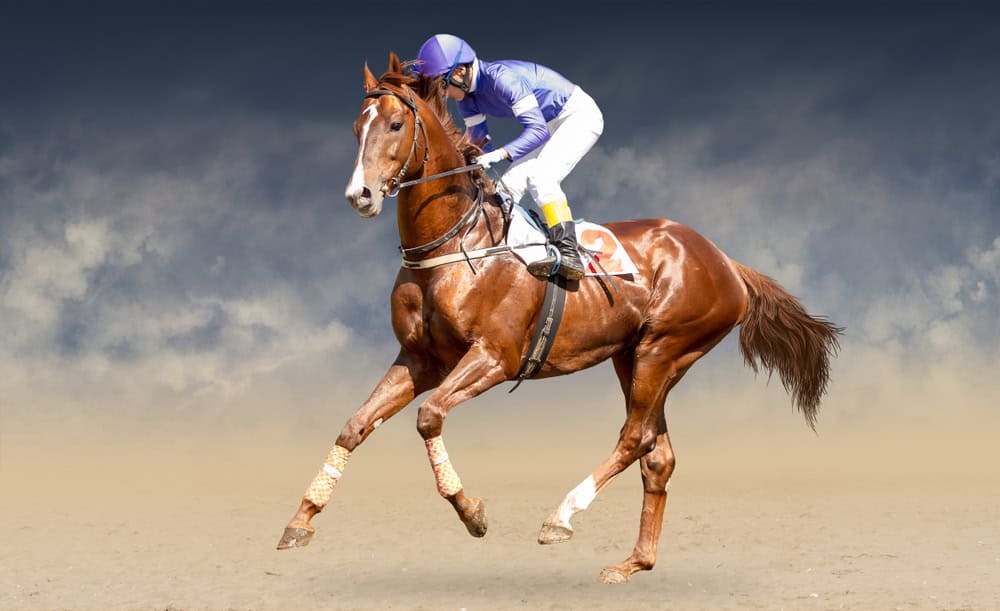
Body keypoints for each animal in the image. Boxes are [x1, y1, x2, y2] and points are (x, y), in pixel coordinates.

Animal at [277, 53, 843, 584]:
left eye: (395, 125)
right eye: (357, 127)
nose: (360, 195)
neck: (455, 244)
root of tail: (725, 261)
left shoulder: (494, 357)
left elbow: (429, 417)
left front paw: (472, 512)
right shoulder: (419, 360)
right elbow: (354, 426)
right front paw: (301, 520)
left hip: (666, 348)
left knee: (634, 438)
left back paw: (562, 517)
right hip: (634, 357)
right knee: (657, 454)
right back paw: (634, 563)